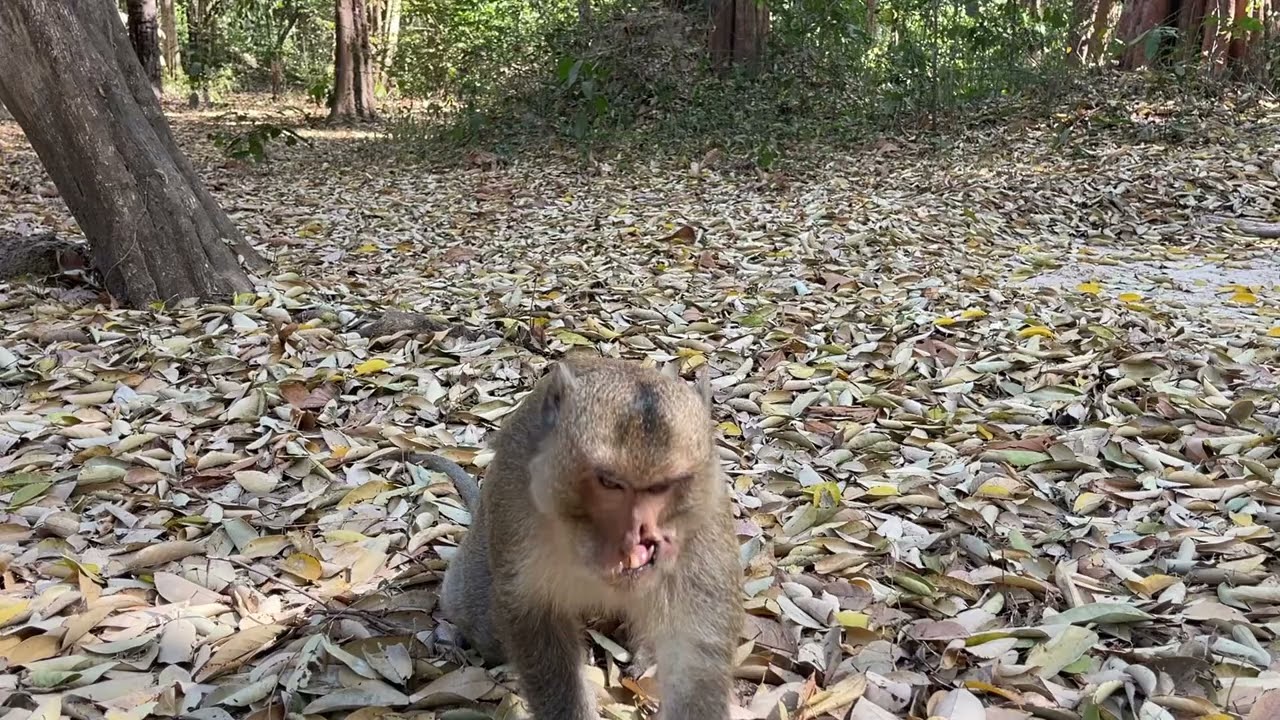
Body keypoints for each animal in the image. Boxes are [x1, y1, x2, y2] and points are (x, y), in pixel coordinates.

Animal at [418, 356, 742, 720]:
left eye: (660, 487)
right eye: (609, 483)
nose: (635, 541)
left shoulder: (704, 523)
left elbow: (694, 648)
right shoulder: (516, 504)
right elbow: (537, 619)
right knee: (481, 621)